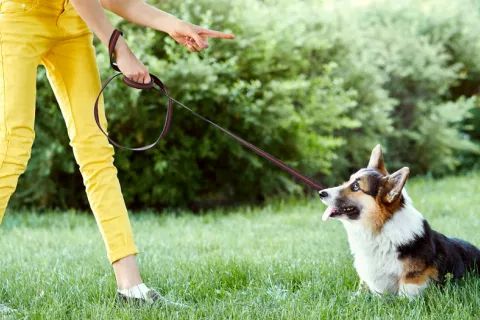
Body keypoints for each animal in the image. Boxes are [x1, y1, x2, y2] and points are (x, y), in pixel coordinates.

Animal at [318, 145, 480, 298]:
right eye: (349, 180)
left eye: (356, 187)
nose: (321, 193)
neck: (381, 231)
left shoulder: (411, 284)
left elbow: (402, 299)